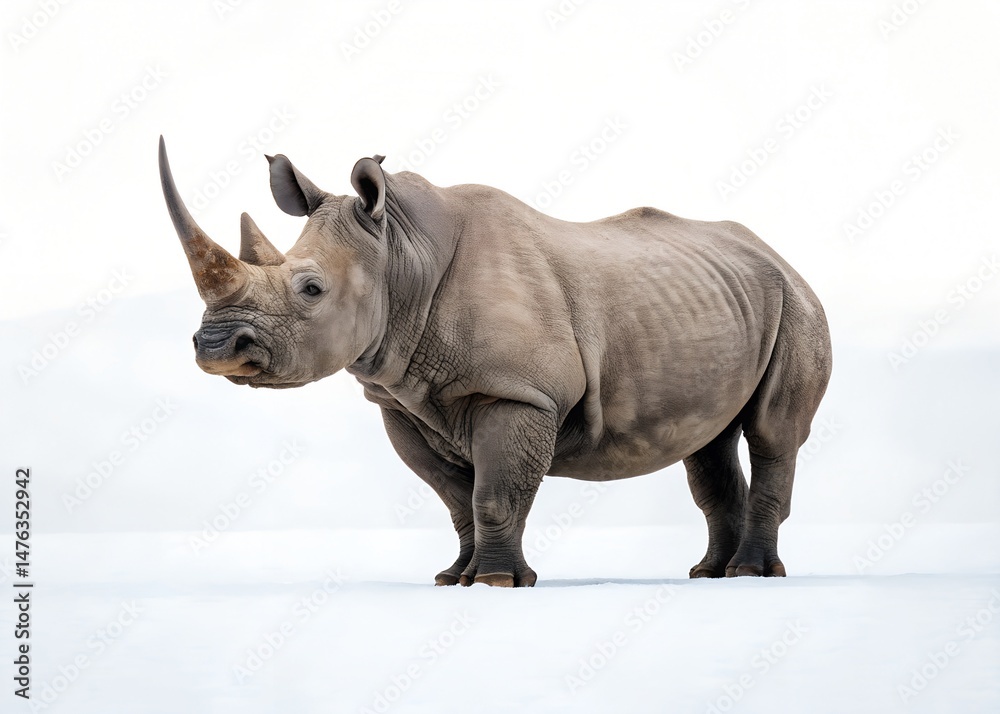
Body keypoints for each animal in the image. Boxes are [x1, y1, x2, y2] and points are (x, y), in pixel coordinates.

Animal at [158, 136, 832, 587]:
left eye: (311, 289)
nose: (216, 349)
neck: (401, 254)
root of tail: (775, 253)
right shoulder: (402, 402)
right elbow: (457, 500)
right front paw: (453, 578)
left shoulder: (518, 392)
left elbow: (495, 494)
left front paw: (495, 583)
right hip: (722, 303)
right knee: (707, 443)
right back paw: (707, 573)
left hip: (796, 305)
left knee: (772, 435)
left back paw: (752, 575)